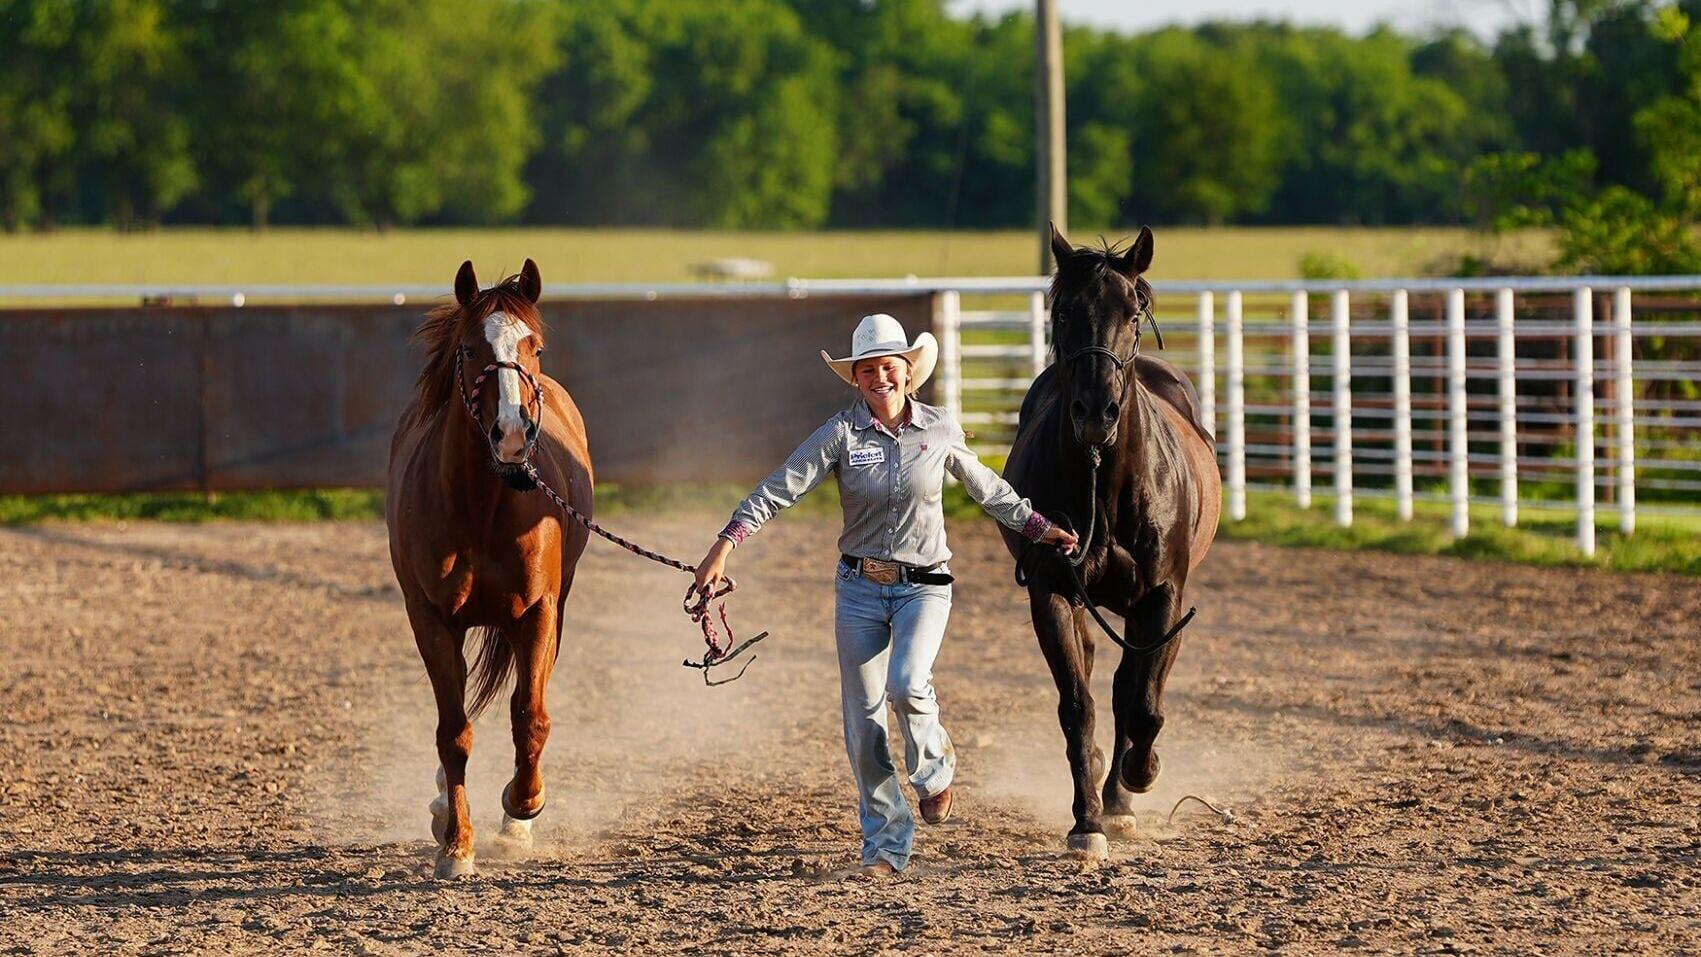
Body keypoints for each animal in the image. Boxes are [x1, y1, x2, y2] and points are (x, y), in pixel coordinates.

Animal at [386, 259, 593, 878]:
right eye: (470, 348)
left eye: (535, 347)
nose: (512, 432)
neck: (481, 504)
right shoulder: (431, 618)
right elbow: (454, 733)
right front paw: (456, 845)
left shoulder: (539, 613)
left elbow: (531, 716)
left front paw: (522, 806)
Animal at [999, 224, 1221, 859]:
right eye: (1063, 312)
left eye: (1132, 311)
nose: (1096, 411)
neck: (1106, 483)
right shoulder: (1051, 592)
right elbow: (1079, 704)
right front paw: (1087, 820)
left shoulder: (1163, 600)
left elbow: (1141, 703)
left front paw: (1134, 782)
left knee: (1134, 687)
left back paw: (1123, 788)